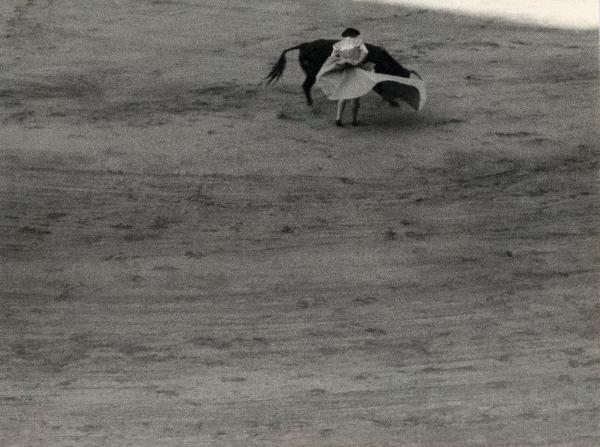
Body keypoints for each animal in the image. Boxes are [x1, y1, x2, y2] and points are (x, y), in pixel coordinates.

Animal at [264, 39, 420, 106]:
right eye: (402, 79)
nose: (405, 96)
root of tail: (304, 45)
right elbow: (380, 89)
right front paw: (393, 102)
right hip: (313, 72)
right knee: (306, 86)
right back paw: (311, 104)